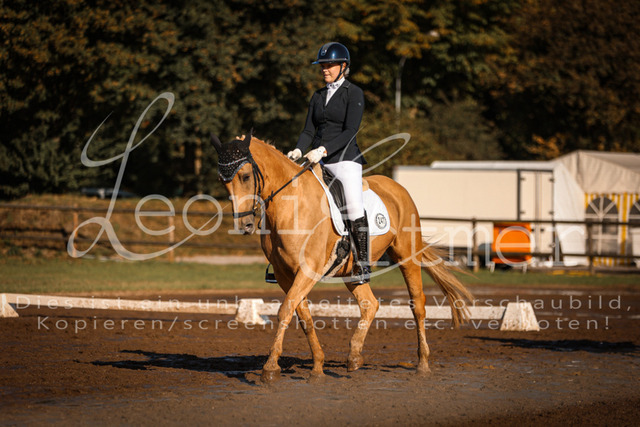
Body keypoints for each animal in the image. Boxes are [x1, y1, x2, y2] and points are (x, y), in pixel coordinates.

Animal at [212, 134, 473, 383]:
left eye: (245, 176)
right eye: (223, 182)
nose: (245, 226)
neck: (291, 206)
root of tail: (397, 188)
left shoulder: (308, 270)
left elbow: (285, 310)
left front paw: (270, 368)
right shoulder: (286, 275)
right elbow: (302, 315)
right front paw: (317, 366)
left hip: (407, 256)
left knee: (417, 304)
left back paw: (422, 364)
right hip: (351, 271)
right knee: (370, 304)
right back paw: (354, 357)